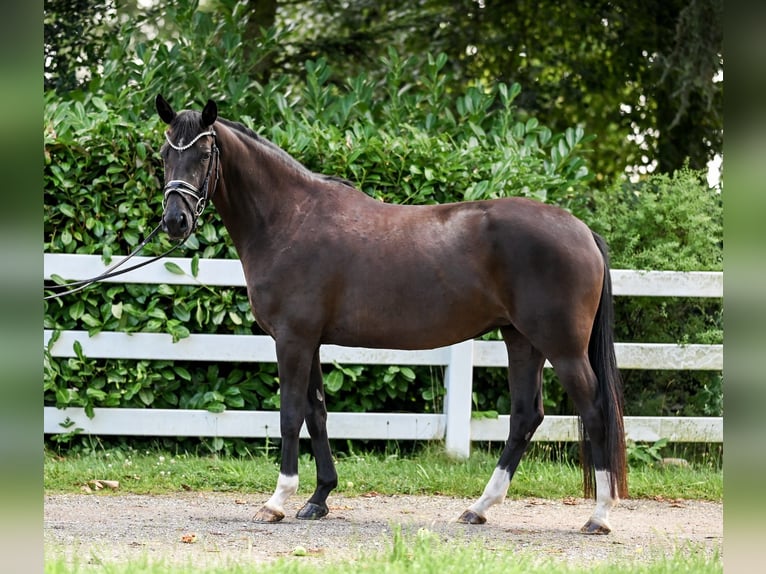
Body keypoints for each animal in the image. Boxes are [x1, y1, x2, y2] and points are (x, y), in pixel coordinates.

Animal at [156, 94, 632, 536]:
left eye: (204, 154)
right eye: (164, 154)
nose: (176, 221)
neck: (290, 219)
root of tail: (582, 230)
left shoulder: (293, 339)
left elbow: (290, 415)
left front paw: (276, 500)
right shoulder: (310, 341)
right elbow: (317, 413)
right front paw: (319, 498)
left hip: (562, 347)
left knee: (594, 411)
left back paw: (599, 515)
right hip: (522, 340)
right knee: (524, 416)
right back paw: (478, 508)